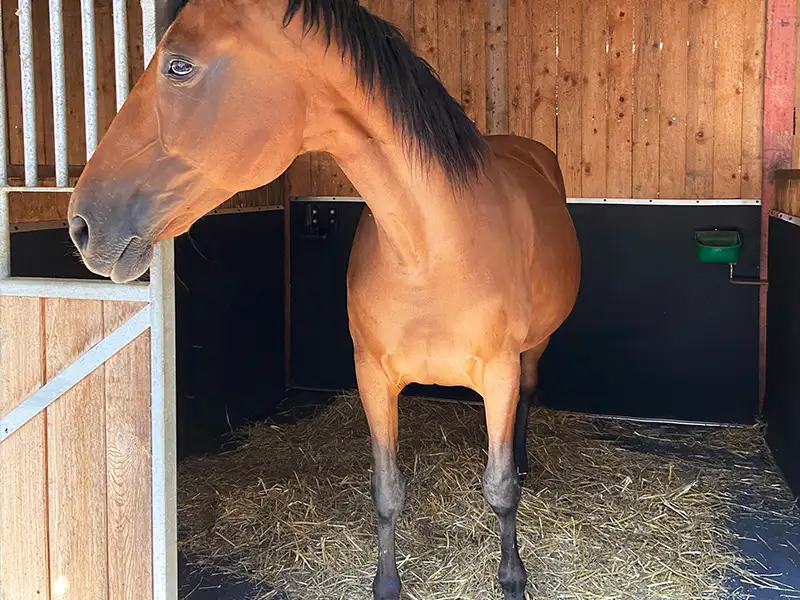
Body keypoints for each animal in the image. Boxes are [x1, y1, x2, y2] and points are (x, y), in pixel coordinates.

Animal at [67, 0, 581, 597]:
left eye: (179, 66)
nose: (82, 225)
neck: (430, 250)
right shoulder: (373, 376)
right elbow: (387, 491)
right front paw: (386, 585)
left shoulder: (497, 374)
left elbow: (498, 489)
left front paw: (513, 578)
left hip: (532, 351)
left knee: (527, 399)